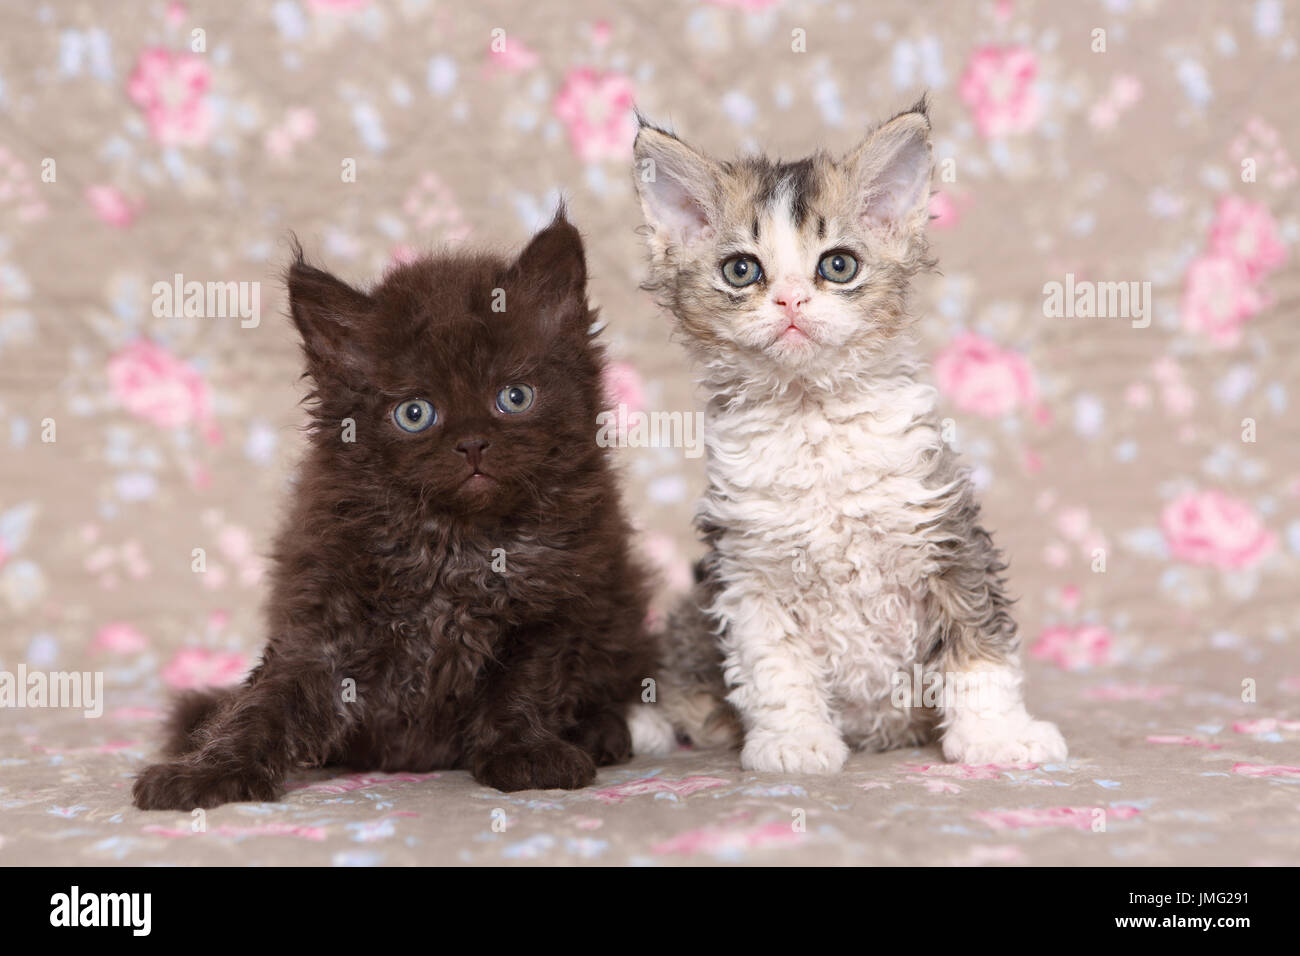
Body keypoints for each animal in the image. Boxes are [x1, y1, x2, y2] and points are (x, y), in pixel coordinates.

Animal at [134, 209, 650, 806]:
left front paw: (524, 753)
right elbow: (266, 704)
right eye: (414, 413)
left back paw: (601, 731)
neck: (456, 543)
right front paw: (206, 771)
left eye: (514, 397)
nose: (473, 444)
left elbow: (523, 687)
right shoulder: (321, 623)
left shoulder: (554, 606)